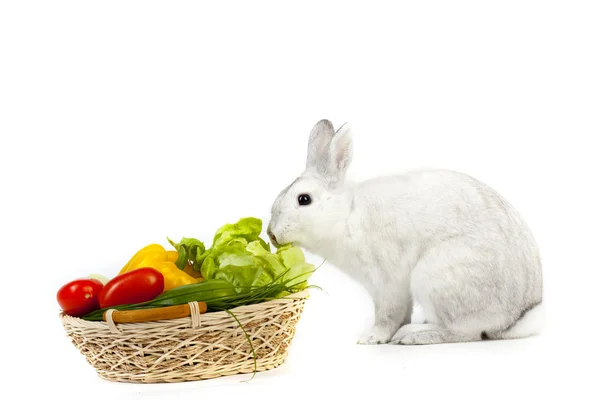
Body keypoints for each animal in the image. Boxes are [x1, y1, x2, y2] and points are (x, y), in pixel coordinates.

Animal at [268, 118, 544, 344]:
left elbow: (387, 315)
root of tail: (514, 318)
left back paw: (412, 335)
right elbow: (400, 314)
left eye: (304, 199)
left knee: (464, 332)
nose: (272, 234)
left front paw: (371, 338)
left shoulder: (388, 283)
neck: (347, 216)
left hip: (437, 275)